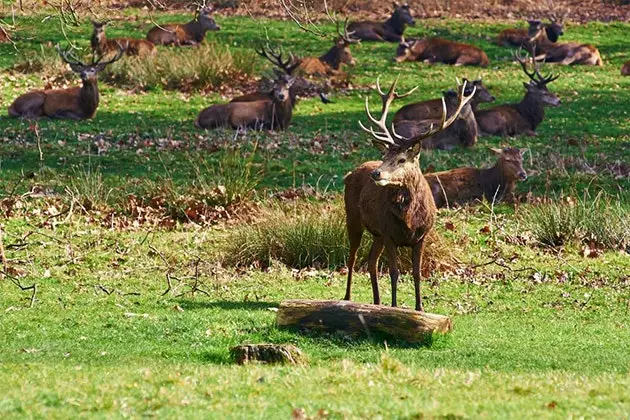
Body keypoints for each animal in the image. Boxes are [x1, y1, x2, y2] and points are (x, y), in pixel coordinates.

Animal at [346, 76, 474, 312]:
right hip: (353, 217)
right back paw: (348, 297)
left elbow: (416, 273)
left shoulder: (421, 236)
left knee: (371, 261)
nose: (376, 173)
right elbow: (394, 273)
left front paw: (420, 308)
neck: (410, 219)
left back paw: (376, 302)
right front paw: (395, 307)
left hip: (376, 234)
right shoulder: (389, 234)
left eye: (402, 159)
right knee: (352, 257)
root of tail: (351, 173)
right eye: (385, 156)